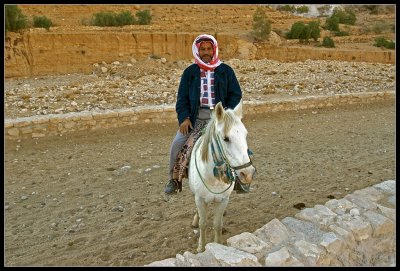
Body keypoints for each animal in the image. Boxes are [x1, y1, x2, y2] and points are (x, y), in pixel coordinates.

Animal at [188, 100, 256, 253]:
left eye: (245, 135)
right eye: (226, 138)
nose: (247, 173)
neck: (213, 179)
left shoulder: (224, 200)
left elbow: (217, 224)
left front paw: (217, 245)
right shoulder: (200, 199)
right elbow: (203, 223)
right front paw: (201, 247)